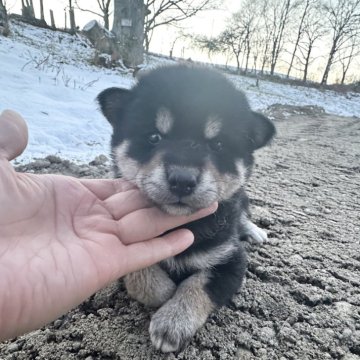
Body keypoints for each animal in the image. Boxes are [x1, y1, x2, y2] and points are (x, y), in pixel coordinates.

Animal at [97, 64, 274, 352]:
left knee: (243, 213)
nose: (182, 180)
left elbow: (199, 284)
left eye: (218, 145)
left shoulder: (231, 259)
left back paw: (254, 231)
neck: (185, 223)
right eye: (154, 137)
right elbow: (140, 275)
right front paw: (165, 292)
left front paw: (172, 322)